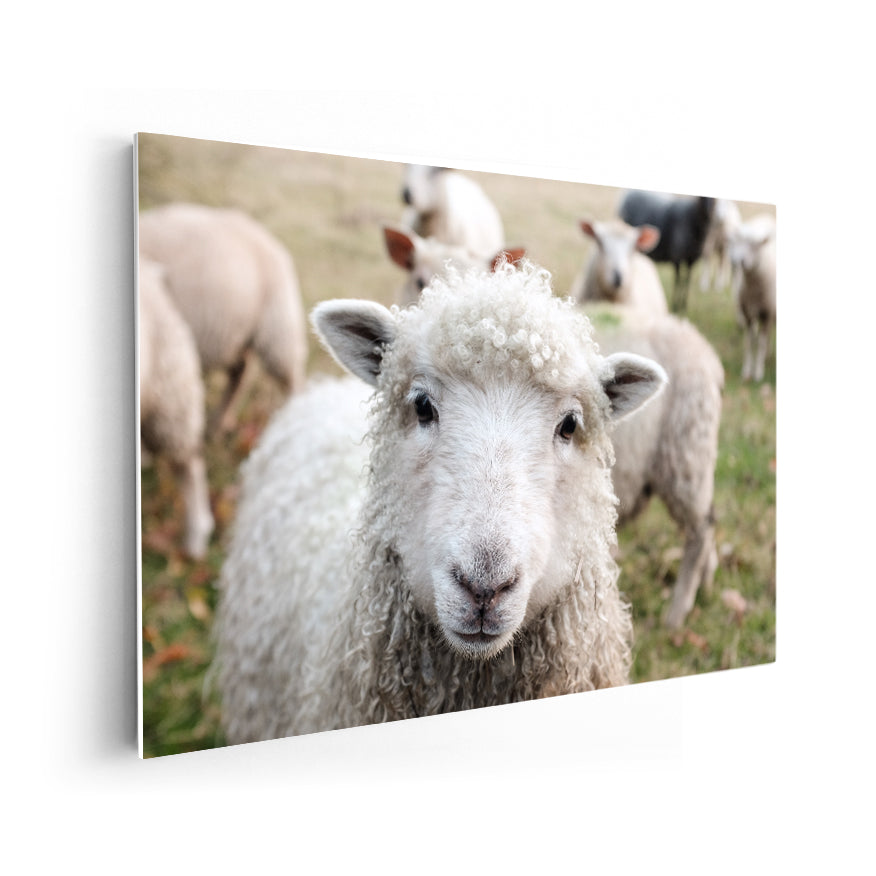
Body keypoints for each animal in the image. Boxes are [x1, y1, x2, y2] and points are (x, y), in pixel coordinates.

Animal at [727, 214, 776, 382]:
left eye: (755, 245)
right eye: (736, 242)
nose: (737, 261)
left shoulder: (767, 313)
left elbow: (760, 343)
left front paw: (758, 372)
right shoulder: (747, 314)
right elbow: (749, 343)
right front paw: (747, 371)